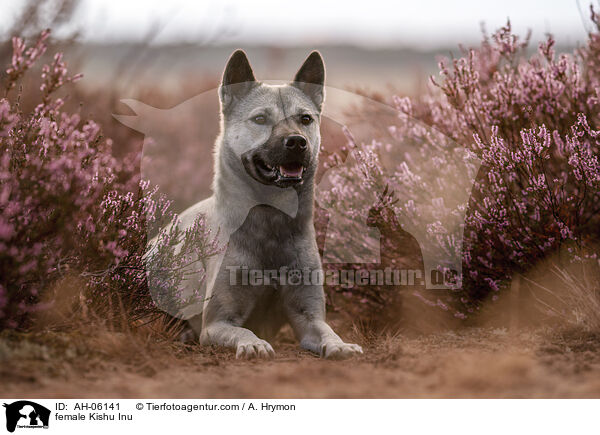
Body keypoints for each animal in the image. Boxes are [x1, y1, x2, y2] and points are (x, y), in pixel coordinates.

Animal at [152, 50, 364, 362]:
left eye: (305, 119)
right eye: (261, 118)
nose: (297, 142)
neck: (271, 222)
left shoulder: (308, 315)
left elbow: (326, 331)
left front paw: (340, 345)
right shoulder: (217, 322)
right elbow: (241, 331)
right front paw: (254, 343)